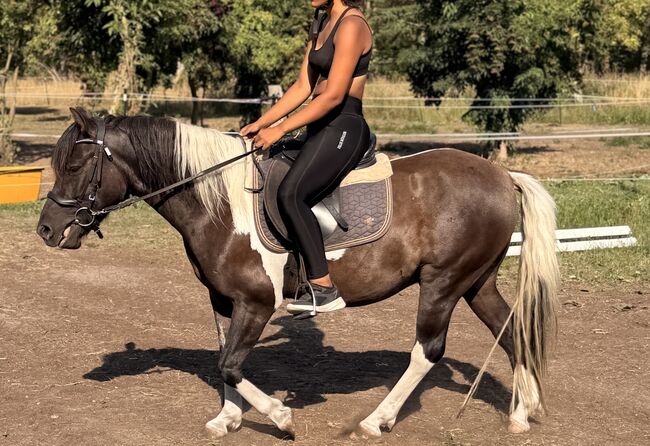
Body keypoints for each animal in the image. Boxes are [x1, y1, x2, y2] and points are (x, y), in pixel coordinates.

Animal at [37, 107, 559, 439]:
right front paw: (227, 420)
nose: (46, 230)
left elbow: (230, 364)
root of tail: (501, 175)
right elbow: (224, 359)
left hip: (442, 284)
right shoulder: (224, 300)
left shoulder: (256, 303)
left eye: (76, 163)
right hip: (476, 283)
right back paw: (521, 414)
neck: (219, 203)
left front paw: (280, 417)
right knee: (513, 332)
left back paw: (376, 421)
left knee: (426, 352)